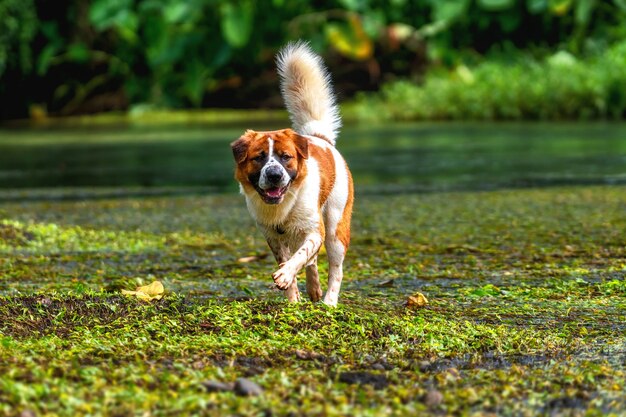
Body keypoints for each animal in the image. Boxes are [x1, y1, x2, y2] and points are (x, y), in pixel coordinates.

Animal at [232, 42, 354, 306]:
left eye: (285, 156)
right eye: (259, 158)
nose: (274, 175)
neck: (283, 205)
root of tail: (320, 138)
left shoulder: (314, 231)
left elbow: (300, 257)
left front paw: (285, 275)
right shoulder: (272, 237)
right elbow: (291, 259)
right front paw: (292, 299)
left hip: (335, 228)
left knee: (335, 268)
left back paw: (329, 301)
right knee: (313, 262)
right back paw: (314, 289)